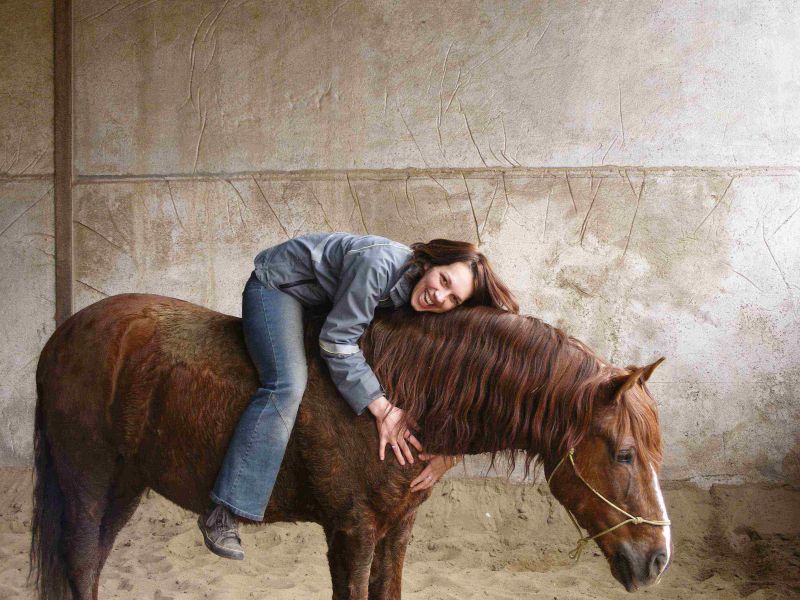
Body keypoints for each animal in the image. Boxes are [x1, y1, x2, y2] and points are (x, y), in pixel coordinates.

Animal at [30, 293, 671, 600]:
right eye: (622, 453)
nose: (658, 559)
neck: (395, 391)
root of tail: (62, 335)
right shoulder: (352, 532)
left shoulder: (395, 531)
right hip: (87, 479)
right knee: (82, 561)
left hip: (125, 483)